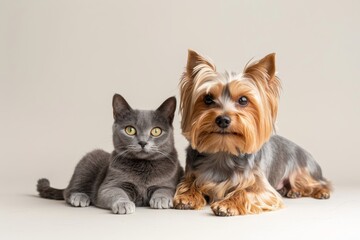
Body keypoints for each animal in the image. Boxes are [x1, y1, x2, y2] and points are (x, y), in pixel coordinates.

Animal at [37, 93, 183, 214]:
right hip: (87, 163)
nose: (142, 142)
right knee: (69, 191)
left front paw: (161, 199)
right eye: (130, 130)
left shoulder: (169, 184)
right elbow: (117, 193)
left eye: (156, 131)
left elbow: (164, 190)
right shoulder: (109, 186)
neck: (143, 168)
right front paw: (123, 204)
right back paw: (80, 197)